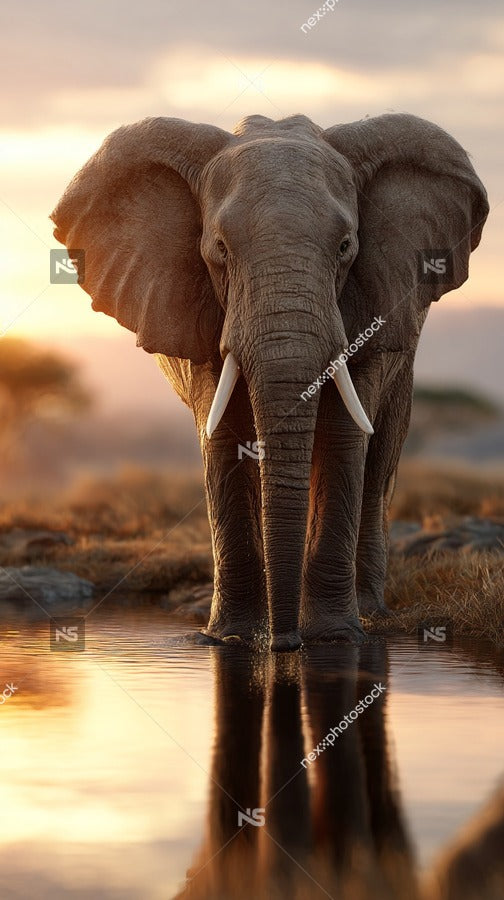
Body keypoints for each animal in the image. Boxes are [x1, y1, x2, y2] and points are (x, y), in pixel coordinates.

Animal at [51, 112, 488, 651]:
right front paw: (231, 639)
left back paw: (369, 612)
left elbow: (344, 434)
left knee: (381, 456)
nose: (284, 644)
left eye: (346, 247)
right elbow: (223, 438)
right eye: (219, 249)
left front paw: (335, 638)